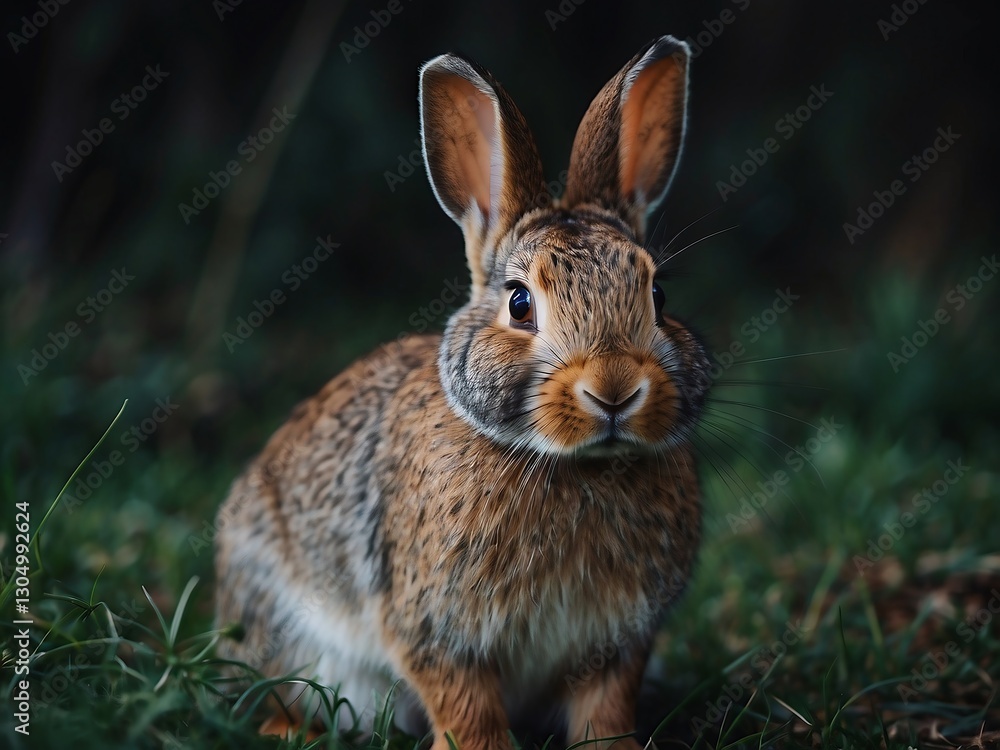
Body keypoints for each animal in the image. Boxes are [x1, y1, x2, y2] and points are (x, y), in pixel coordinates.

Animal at [214, 34, 710, 750]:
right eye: (520, 303)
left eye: (659, 296)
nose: (614, 390)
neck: (573, 466)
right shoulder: (435, 632)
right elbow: (466, 709)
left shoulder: (617, 644)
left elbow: (606, 712)